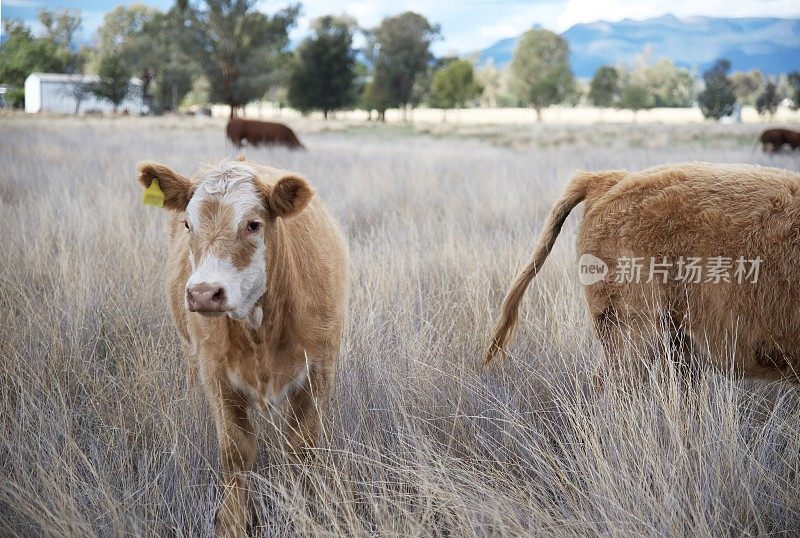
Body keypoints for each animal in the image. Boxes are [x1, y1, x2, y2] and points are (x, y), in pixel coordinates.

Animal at [138, 154, 350, 532]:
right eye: (188, 224)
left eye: (253, 224)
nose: (204, 293)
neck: (260, 332)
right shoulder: (216, 375)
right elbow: (236, 450)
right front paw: (233, 522)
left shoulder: (319, 369)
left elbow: (301, 447)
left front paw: (303, 512)